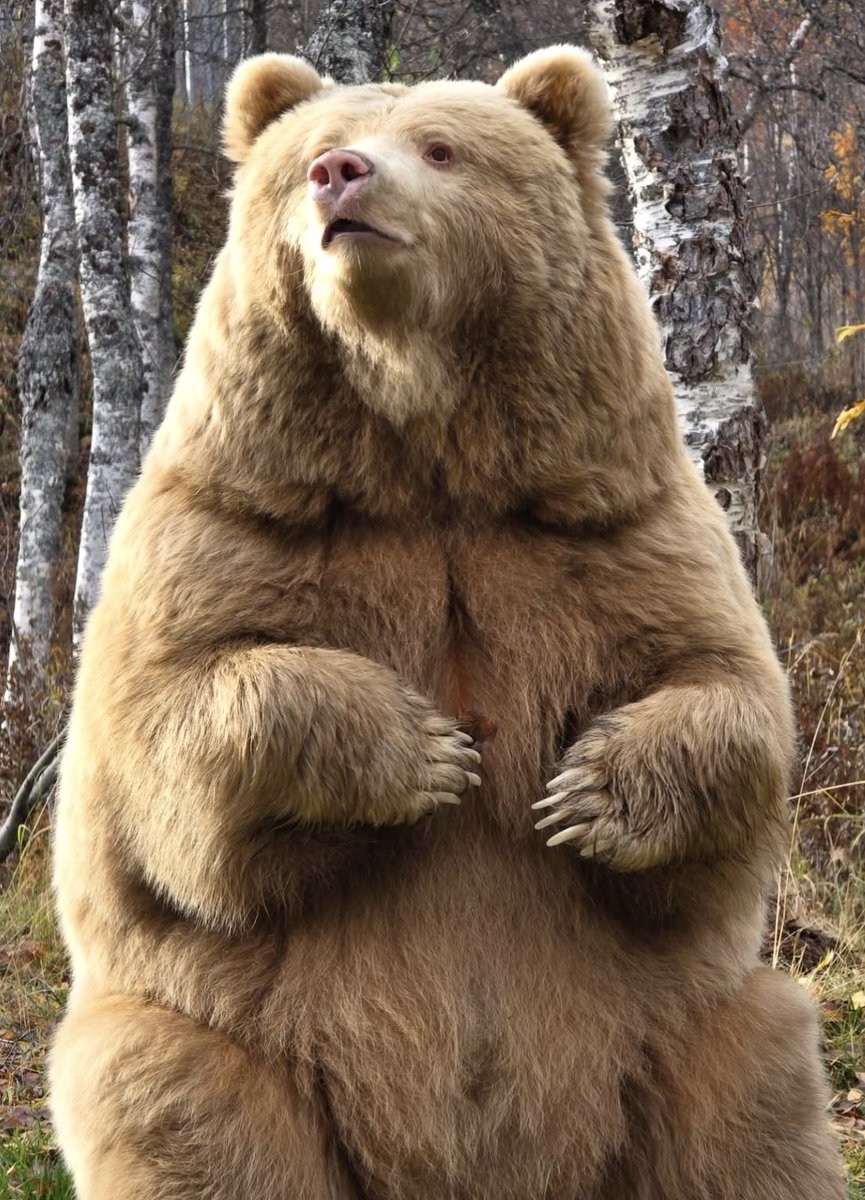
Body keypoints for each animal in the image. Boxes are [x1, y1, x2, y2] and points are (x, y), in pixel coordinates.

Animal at [50, 46, 845, 1200]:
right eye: (307, 156)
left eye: (440, 148)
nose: (340, 174)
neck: (425, 446)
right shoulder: (234, 523)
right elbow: (168, 733)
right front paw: (424, 751)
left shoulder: (604, 523)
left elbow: (725, 688)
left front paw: (581, 792)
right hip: (228, 1038)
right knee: (181, 1104)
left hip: (675, 1031)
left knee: (752, 1093)